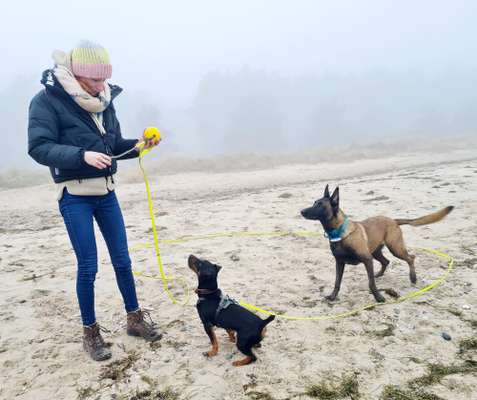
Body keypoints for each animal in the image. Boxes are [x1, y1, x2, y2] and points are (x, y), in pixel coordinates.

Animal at [300, 186, 452, 302]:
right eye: (314, 202)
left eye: (320, 205)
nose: (301, 211)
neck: (339, 232)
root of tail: (393, 220)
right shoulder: (340, 262)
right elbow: (337, 282)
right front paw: (332, 296)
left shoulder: (367, 259)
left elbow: (371, 282)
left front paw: (378, 297)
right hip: (376, 252)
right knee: (386, 261)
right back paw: (379, 274)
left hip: (395, 248)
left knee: (410, 258)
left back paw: (412, 278)